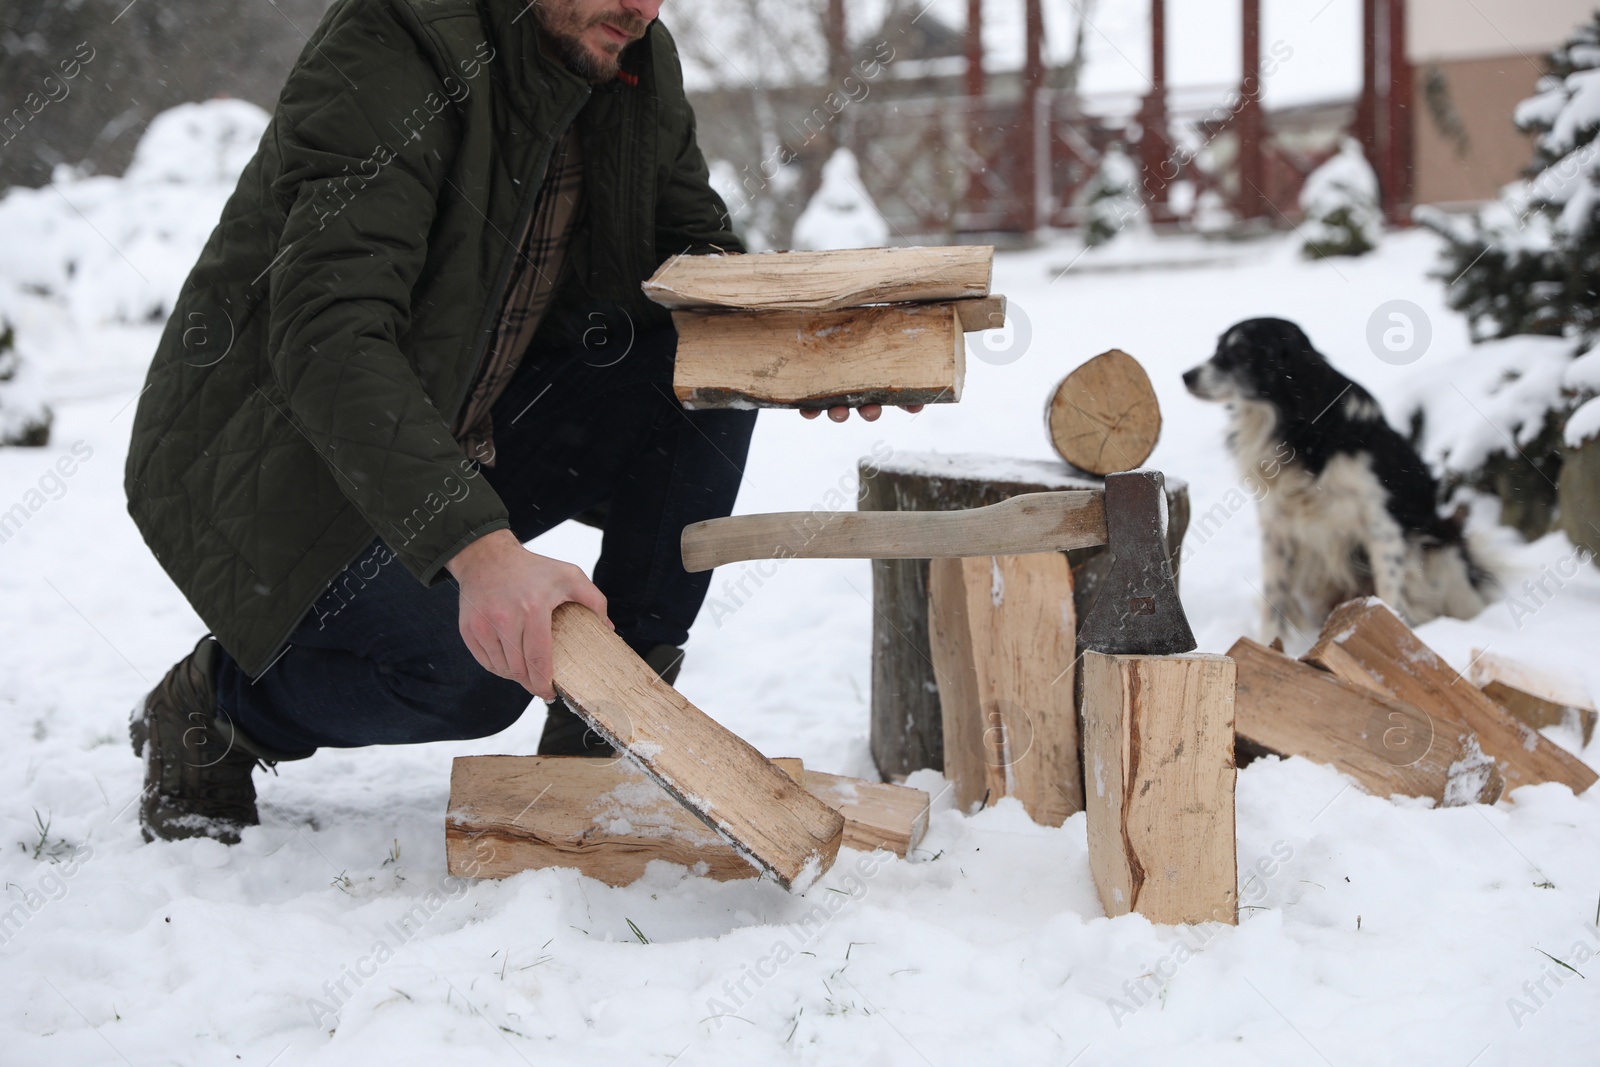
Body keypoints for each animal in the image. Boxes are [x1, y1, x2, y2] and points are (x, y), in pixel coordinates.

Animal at [1177, 316, 1497, 646]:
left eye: (1240, 351)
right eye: (1218, 347)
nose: (1186, 376)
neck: (1297, 428)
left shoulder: (1382, 526)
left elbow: (1389, 593)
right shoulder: (1276, 528)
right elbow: (1274, 598)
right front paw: (1268, 645)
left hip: (1441, 548)